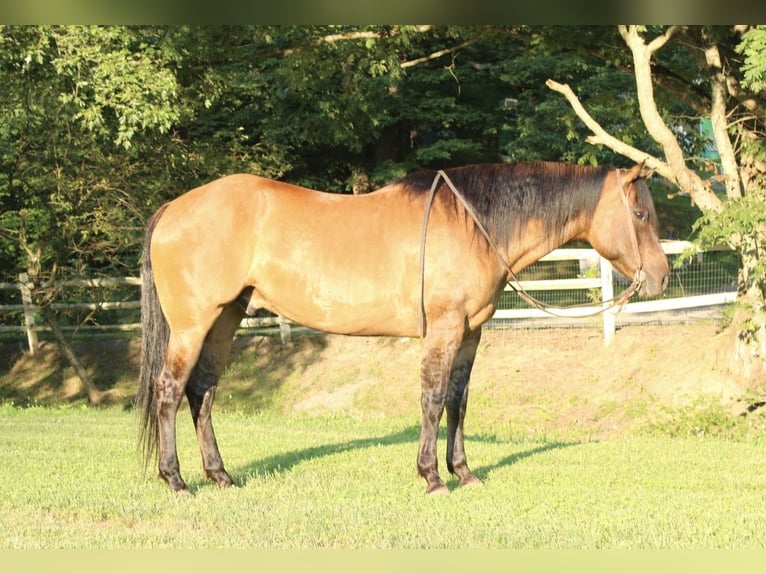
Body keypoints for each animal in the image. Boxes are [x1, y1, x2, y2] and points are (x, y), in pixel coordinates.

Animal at [136, 161, 669, 495]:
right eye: (639, 213)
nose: (662, 277)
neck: (474, 223)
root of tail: (172, 209)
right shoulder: (444, 331)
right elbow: (432, 399)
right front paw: (432, 476)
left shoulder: (469, 334)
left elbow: (458, 401)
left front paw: (464, 473)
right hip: (192, 325)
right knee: (170, 390)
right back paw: (176, 479)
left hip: (225, 319)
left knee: (202, 392)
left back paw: (220, 475)